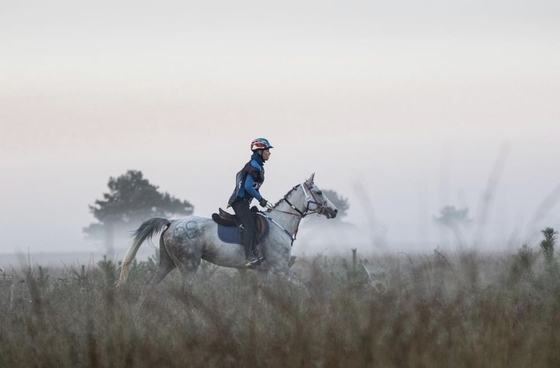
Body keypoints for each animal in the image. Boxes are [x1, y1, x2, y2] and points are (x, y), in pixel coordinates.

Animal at [116, 174, 340, 288]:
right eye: (319, 192)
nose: (335, 210)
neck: (280, 222)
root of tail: (172, 223)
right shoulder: (280, 268)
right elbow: (303, 289)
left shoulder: (265, 271)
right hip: (189, 265)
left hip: (167, 262)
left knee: (148, 287)